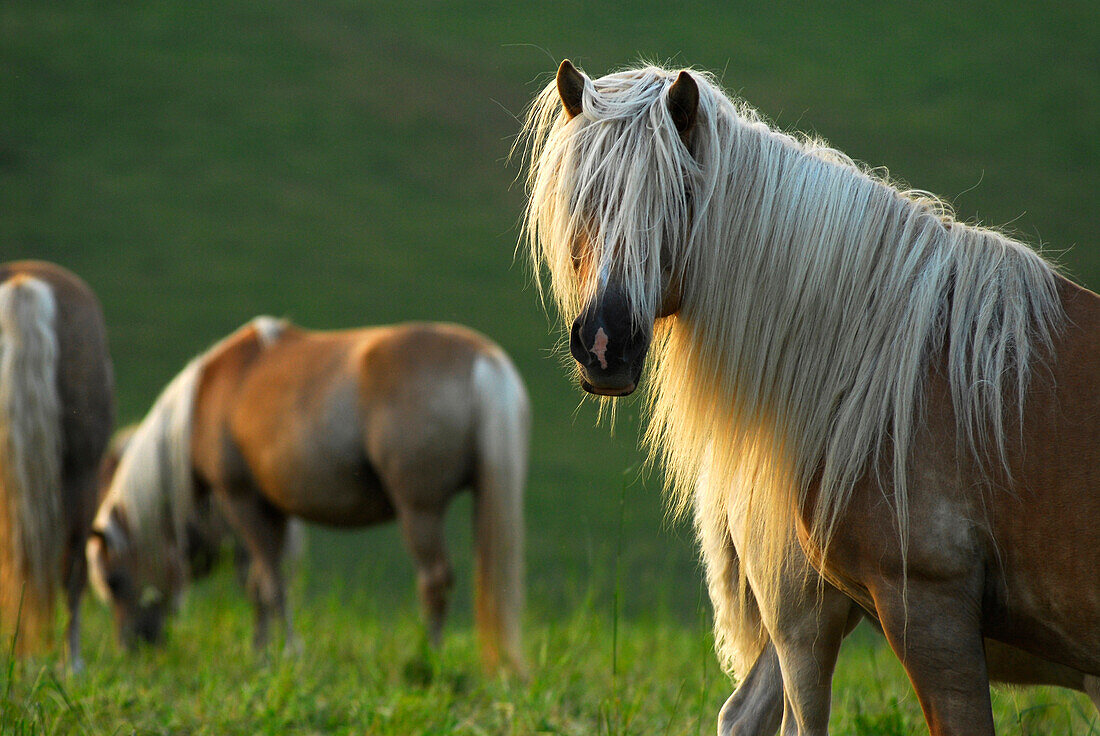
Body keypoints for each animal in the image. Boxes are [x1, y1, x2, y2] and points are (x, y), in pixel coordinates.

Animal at [90, 316, 528, 673]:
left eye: (113, 579)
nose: (133, 648)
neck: (210, 393)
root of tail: (483, 360)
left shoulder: (241, 499)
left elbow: (272, 585)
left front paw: (286, 653)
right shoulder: (276, 510)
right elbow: (260, 586)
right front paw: (260, 654)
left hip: (419, 509)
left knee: (434, 580)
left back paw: (428, 659)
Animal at [521, 60, 1100, 730]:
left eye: (678, 199)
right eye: (580, 199)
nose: (604, 343)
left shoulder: (935, 614)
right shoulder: (928, 609)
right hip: (806, 618)